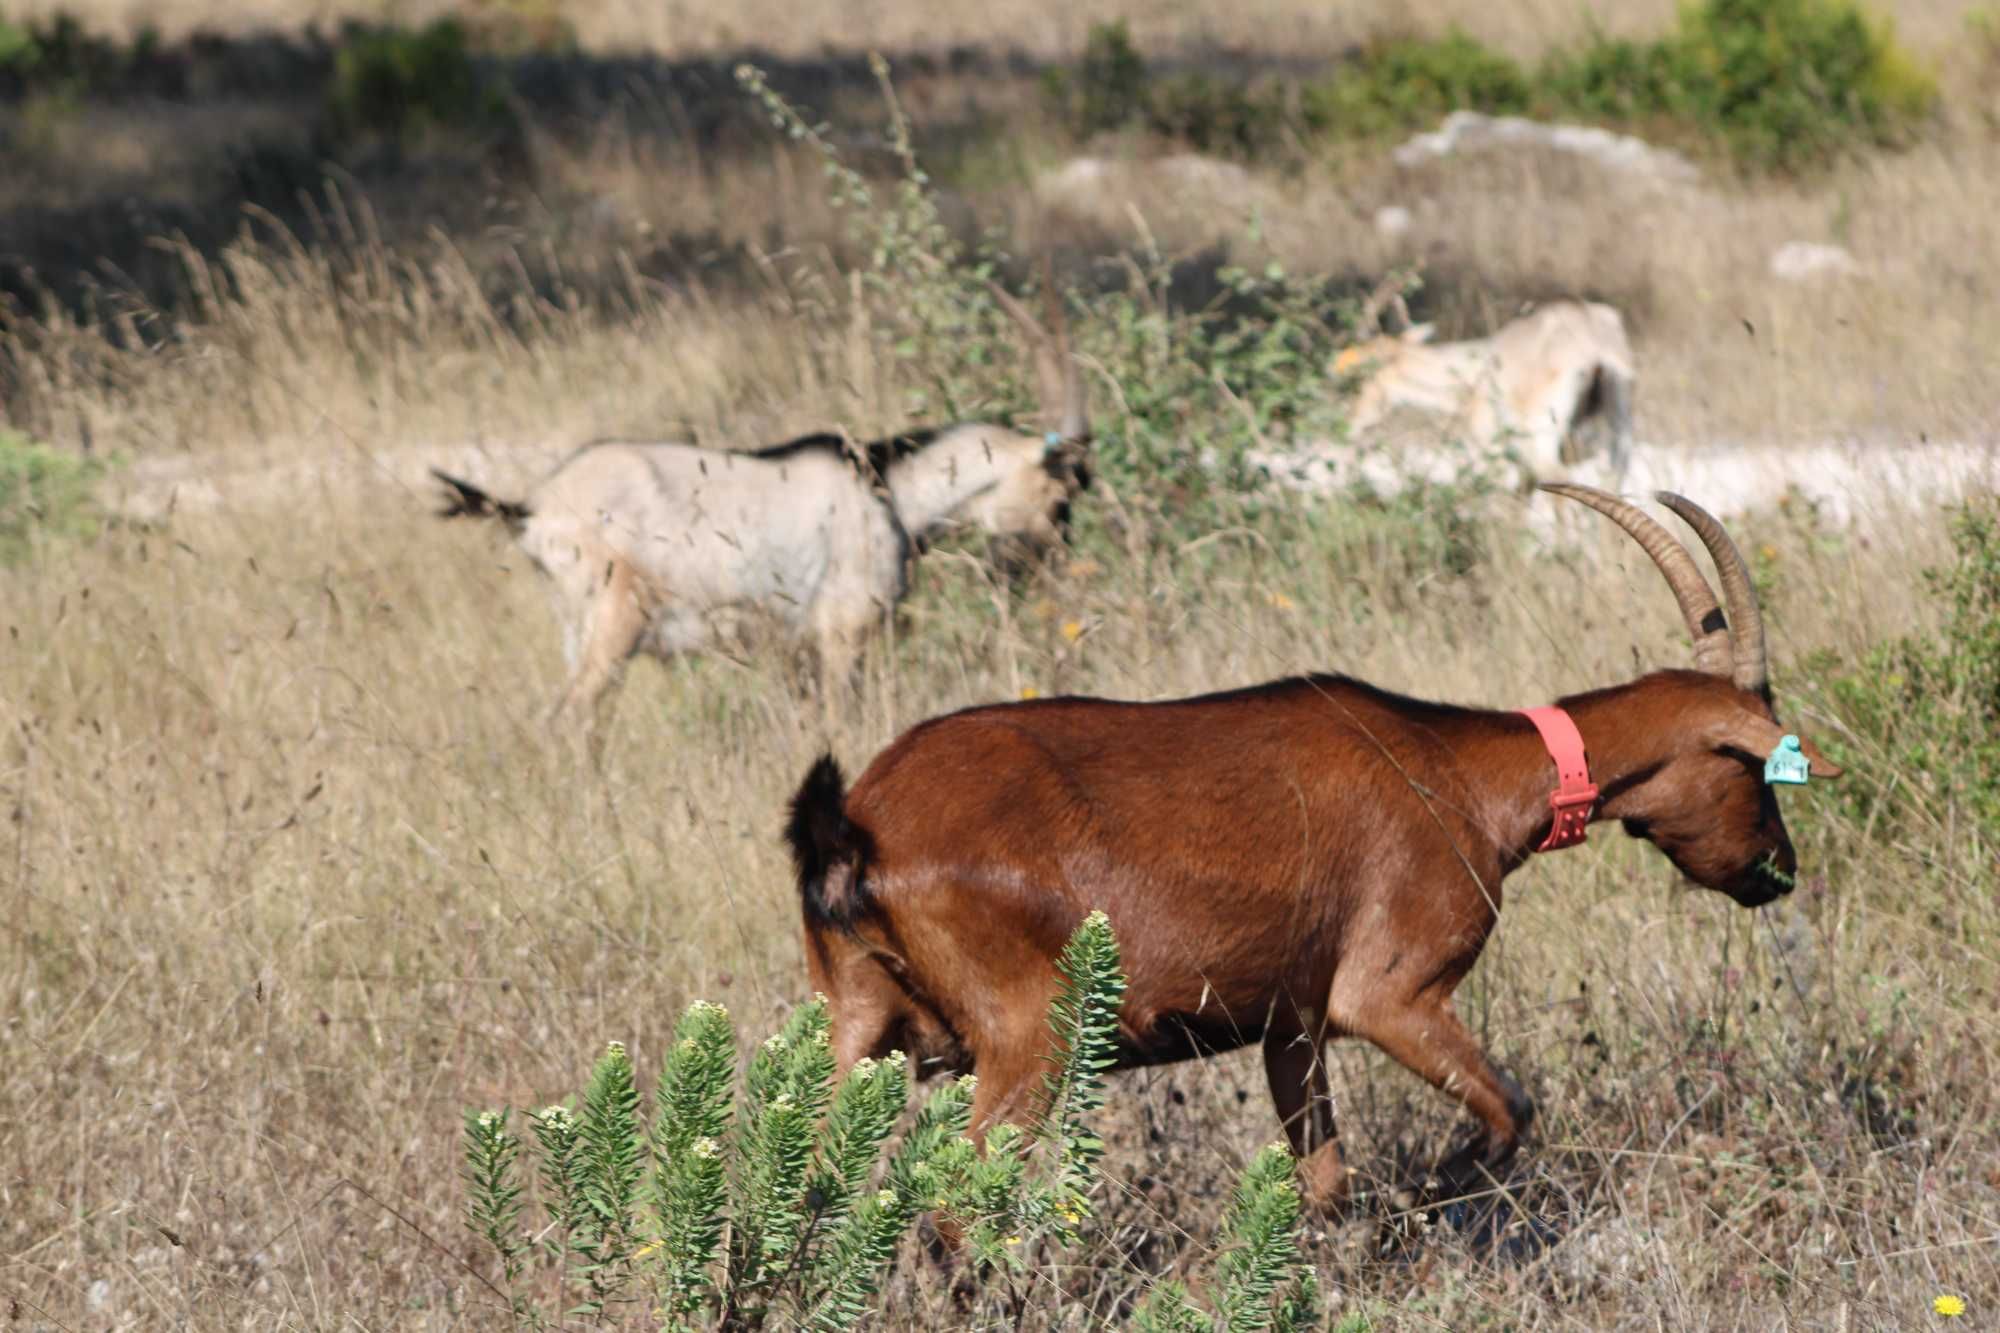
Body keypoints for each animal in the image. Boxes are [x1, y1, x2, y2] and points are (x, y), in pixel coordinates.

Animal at [780, 480, 1840, 1200]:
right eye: (1752, 764)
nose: (1777, 871)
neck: (1459, 769)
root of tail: (862, 821)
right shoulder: (1389, 994)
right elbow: (1508, 1112)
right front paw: (1441, 1187)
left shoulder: (1291, 1025)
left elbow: (1322, 1185)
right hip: (1030, 1038)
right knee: (950, 1211)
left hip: (855, 1026)